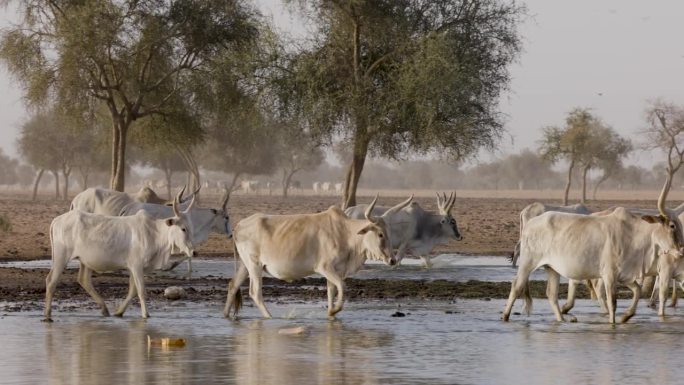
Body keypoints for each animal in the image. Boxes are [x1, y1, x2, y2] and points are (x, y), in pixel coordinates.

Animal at [43, 195, 195, 320]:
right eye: (183, 229)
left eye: (190, 227)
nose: (192, 251)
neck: (154, 233)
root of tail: (57, 220)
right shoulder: (136, 266)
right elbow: (141, 291)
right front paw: (146, 314)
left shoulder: (136, 268)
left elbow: (133, 290)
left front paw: (119, 312)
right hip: (61, 256)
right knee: (51, 281)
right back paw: (47, 315)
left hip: (85, 260)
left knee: (84, 280)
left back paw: (105, 309)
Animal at [224, 195, 392, 318]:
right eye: (380, 234)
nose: (392, 260)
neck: (345, 232)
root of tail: (239, 226)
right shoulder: (325, 267)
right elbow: (342, 286)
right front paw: (335, 310)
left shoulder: (335, 271)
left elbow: (332, 291)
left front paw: (330, 313)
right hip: (254, 266)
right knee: (255, 292)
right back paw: (269, 317)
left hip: (245, 266)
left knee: (233, 285)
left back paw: (226, 315)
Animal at [502, 206, 684, 322]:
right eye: (672, 226)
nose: (681, 250)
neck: (633, 235)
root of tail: (530, 223)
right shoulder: (610, 276)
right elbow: (612, 304)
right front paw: (613, 324)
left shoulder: (625, 275)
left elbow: (638, 291)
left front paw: (627, 316)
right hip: (528, 262)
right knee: (516, 285)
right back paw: (505, 316)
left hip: (552, 268)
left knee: (551, 294)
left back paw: (562, 320)